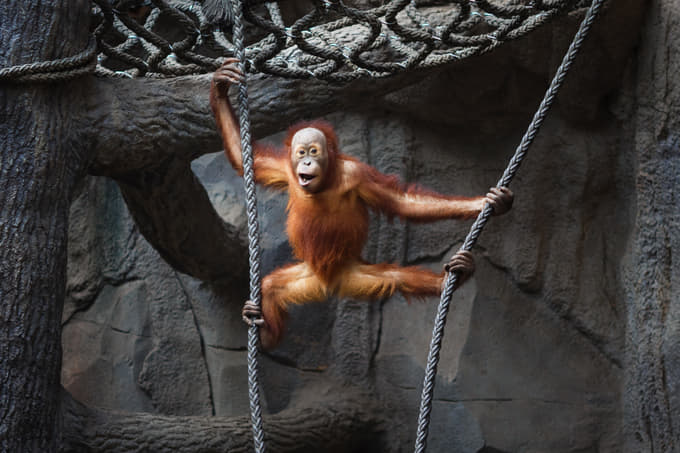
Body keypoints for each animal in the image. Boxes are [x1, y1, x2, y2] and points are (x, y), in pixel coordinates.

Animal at [210, 59, 514, 349]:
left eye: (314, 152)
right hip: (305, 277)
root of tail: (327, 284)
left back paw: (448, 280)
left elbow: (402, 202)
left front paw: (486, 203)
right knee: (272, 287)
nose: (306, 163)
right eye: (300, 153)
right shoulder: (285, 169)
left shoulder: (358, 175)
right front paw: (221, 85)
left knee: (395, 277)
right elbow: (246, 161)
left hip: (354, 275)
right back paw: (265, 335)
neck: (323, 183)